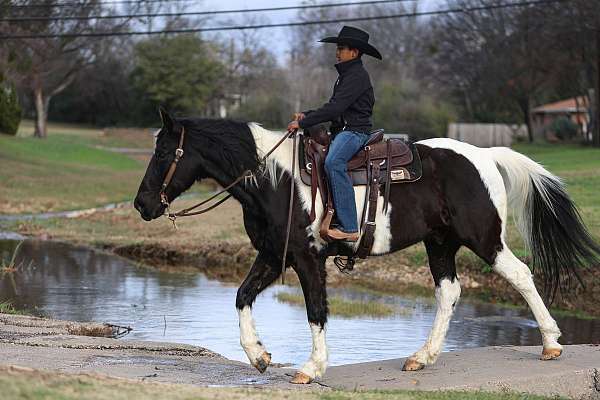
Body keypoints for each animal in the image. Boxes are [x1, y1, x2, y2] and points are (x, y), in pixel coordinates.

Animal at [135, 109, 600, 384]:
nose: (142, 204)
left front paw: (311, 368)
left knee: (520, 275)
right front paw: (259, 356)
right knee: (449, 292)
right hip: (440, 243)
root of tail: (484, 154)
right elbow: (241, 295)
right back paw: (422, 357)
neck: (275, 180)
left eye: (164, 152)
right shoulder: (272, 254)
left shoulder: (307, 258)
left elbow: (316, 310)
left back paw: (551, 344)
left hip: (484, 239)